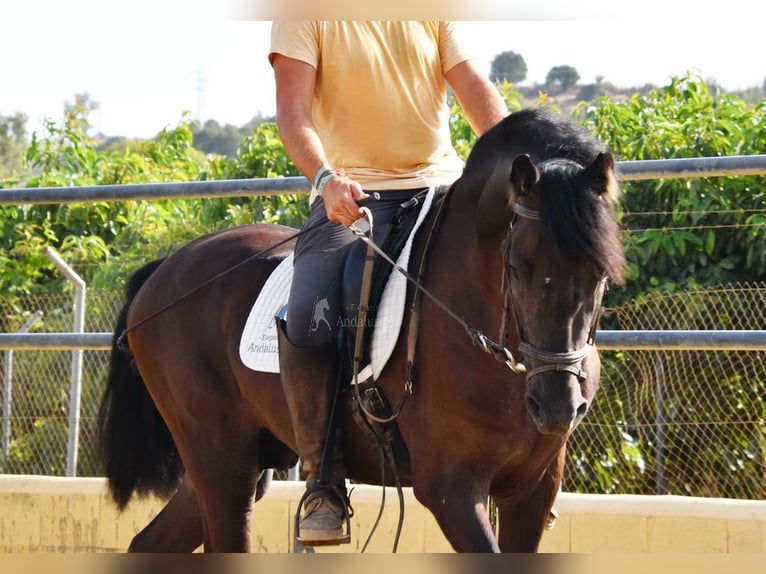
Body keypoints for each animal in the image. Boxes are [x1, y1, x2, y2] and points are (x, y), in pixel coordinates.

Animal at [97, 107, 626, 553]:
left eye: (601, 274)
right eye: (515, 268)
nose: (557, 408)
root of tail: (166, 269)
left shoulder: (532, 490)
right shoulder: (450, 487)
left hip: (236, 461)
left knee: (149, 543)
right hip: (218, 458)